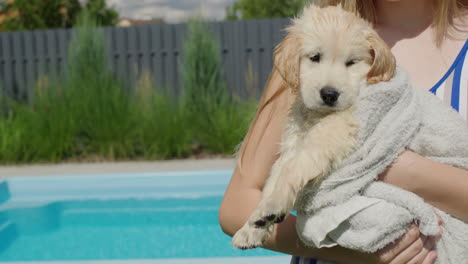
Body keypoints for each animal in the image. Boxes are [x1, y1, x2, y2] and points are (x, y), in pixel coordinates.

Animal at [232, 5, 396, 251]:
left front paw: (272, 204)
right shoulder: (292, 143)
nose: (329, 94)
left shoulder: (331, 134)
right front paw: (251, 228)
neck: (316, 115)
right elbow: (274, 176)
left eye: (351, 62)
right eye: (315, 57)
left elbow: (291, 170)